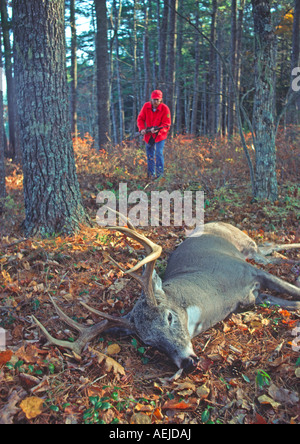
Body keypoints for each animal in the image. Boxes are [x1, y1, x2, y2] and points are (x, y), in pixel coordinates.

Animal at [33, 220, 300, 370]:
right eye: (149, 342)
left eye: (169, 317)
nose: (187, 363)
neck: (220, 293)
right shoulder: (255, 298)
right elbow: (292, 303)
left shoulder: (248, 271)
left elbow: (294, 292)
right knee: (269, 249)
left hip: (246, 246)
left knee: (267, 249)